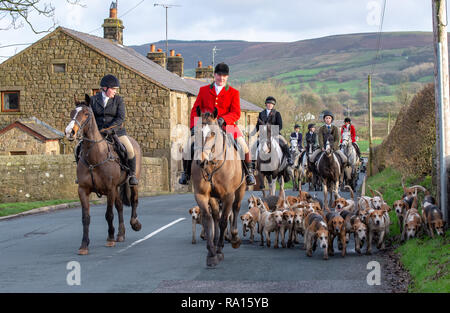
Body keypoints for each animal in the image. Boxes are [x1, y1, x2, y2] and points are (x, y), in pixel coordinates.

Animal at [65, 94, 142, 255]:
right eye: (72, 112)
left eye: (86, 114)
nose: (69, 132)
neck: (95, 156)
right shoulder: (83, 190)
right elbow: (86, 218)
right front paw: (84, 245)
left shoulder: (110, 188)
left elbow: (109, 214)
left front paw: (110, 239)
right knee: (119, 206)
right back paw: (120, 234)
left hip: (132, 182)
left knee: (134, 200)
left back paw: (134, 224)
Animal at [190, 106, 246, 264]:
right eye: (196, 132)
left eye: (213, 133)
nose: (201, 161)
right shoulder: (202, 195)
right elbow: (208, 220)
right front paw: (211, 253)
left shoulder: (228, 196)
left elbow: (223, 221)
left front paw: (220, 250)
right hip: (214, 197)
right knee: (215, 216)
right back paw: (214, 243)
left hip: (240, 190)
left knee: (235, 209)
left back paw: (234, 237)